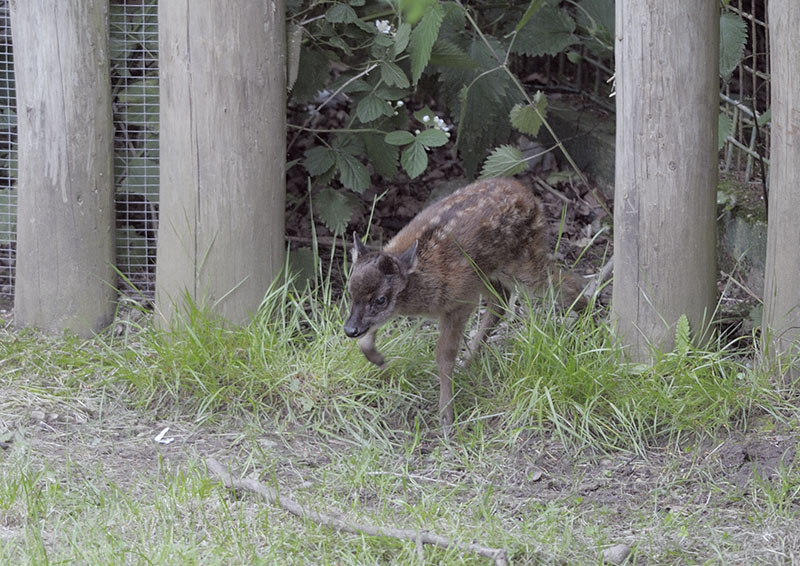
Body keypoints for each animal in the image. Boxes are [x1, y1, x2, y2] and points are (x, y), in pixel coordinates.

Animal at [343, 178, 587, 428]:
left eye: (381, 299)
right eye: (350, 292)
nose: (349, 330)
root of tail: (531, 196)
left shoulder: (460, 301)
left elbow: (444, 355)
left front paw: (446, 416)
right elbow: (370, 332)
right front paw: (377, 359)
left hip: (523, 262)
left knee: (567, 285)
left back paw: (581, 330)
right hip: (486, 272)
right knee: (502, 300)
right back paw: (470, 360)